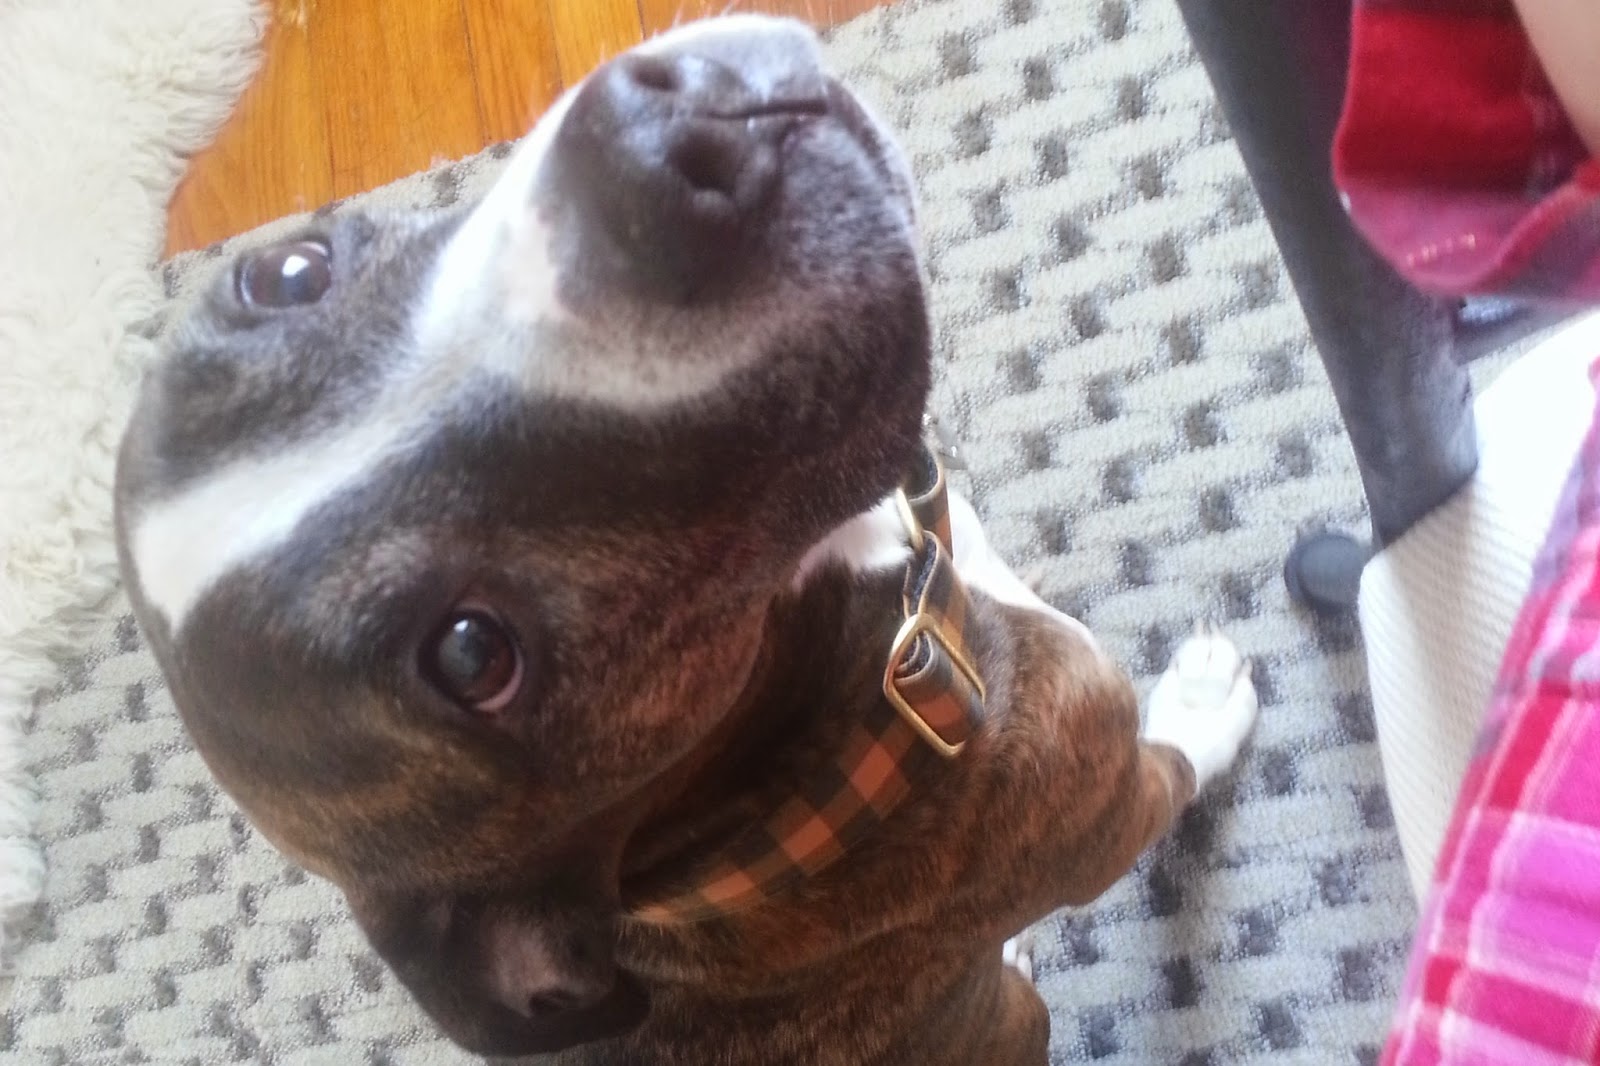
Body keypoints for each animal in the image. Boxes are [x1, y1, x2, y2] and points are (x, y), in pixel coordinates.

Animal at [114, 16, 1258, 1064]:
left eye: (287, 272)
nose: (651, 155)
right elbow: (1177, 764)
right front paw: (1205, 699)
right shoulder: (1103, 797)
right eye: (474, 652)